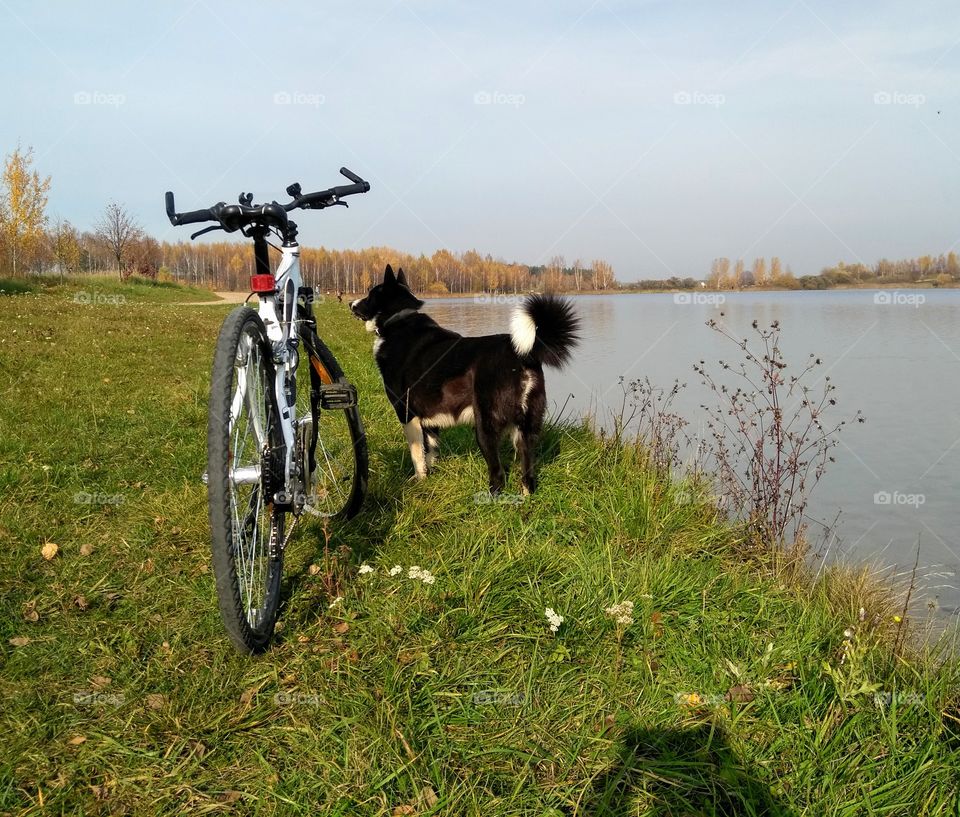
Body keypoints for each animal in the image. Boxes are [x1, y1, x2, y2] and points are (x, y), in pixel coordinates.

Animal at [350, 268, 576, 494]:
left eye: (370, 295)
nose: (350, 303)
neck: (398, 320)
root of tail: (521, 355)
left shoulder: (406, 413)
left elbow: (417, 453)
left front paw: (419, 479)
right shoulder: (429, 419)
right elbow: (430, 449)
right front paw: (430, 475)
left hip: (485, 427)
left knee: (498, 474)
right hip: (526, 431)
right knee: (528, 474)